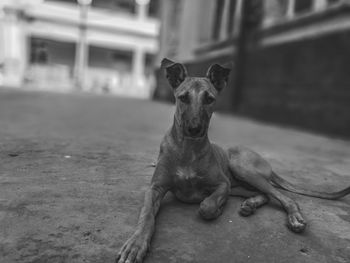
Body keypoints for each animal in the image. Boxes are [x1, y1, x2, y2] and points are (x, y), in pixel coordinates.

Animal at [117, 58, 350, 262]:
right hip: (240, 184)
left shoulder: (222, 184)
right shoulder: (155, 188)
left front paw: (216, 209)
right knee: (265, 195)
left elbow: (206, 206)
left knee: (284, 197)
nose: (194, 129)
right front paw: (135, 244)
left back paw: (293, 217)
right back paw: (250, 205)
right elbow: (146, 216)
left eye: (209, 99)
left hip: (241, 168)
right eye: (183, 97)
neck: (188, 148)